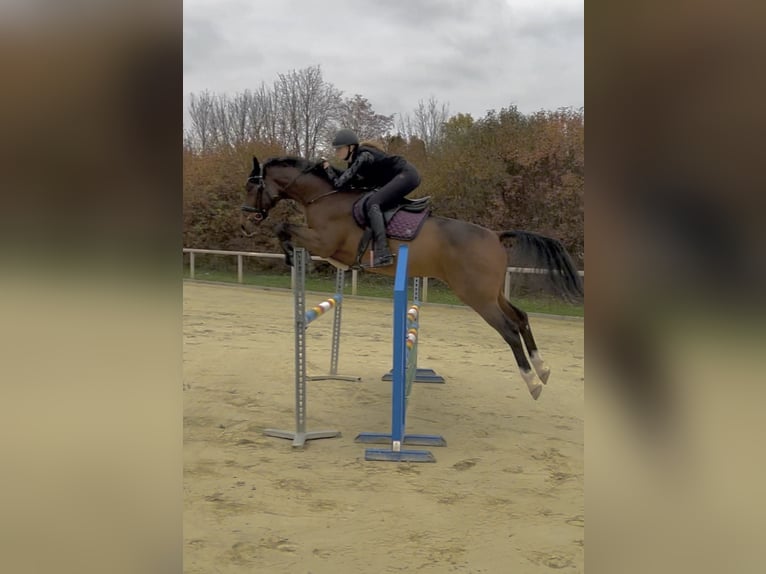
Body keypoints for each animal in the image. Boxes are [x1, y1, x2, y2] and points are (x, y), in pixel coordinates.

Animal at [243, 156, 584, 400]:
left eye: (251, 187)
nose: (247, 219)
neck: (324, 197)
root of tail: (496, 236)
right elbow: (285, 229)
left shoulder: (324, 242)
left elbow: (283, 228)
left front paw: (294, 258)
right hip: (493, 293)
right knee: (522, 317)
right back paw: (543, 368)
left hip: (476, 297)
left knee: (510, 329)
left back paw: (532, 382)